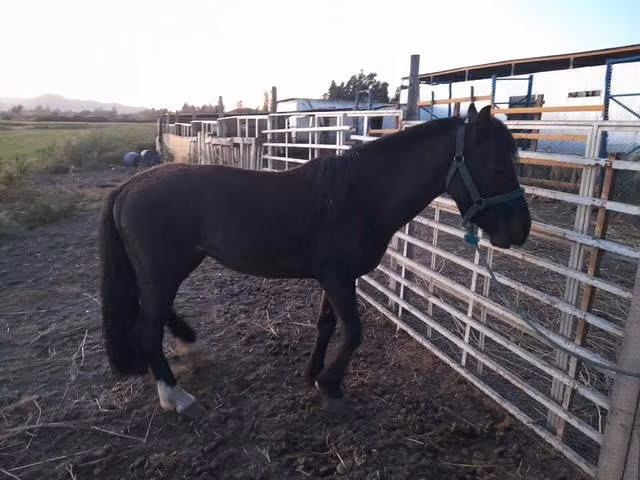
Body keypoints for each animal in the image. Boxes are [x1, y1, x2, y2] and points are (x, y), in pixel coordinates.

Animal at [99, 104, 531, 419]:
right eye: (497, 165)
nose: (521, 230)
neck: (356, 197)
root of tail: (128, 187)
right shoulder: (338, 279)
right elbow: (353, 332)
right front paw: (332, 385)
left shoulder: (333, 279)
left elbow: (327, 326)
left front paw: (314, 373)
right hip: (163, 271)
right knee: (147, 328)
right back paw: (175, 396)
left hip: (161, 271)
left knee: (152, 315)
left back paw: (188, 343)